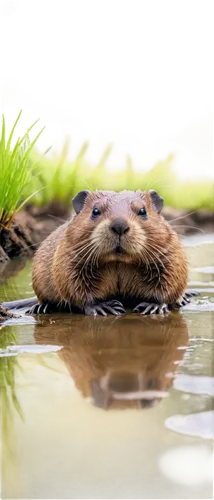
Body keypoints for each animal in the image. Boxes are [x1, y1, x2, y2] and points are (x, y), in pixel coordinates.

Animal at [25, 189, 199, 314]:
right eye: (95, 211)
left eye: (143, 211)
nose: (119, 225)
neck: (119, 262)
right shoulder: (68, 254)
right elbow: (73, 284)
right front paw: (104, 307)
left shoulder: (170, 252)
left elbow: (171, 279)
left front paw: (153, 306)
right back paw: (41, 308)